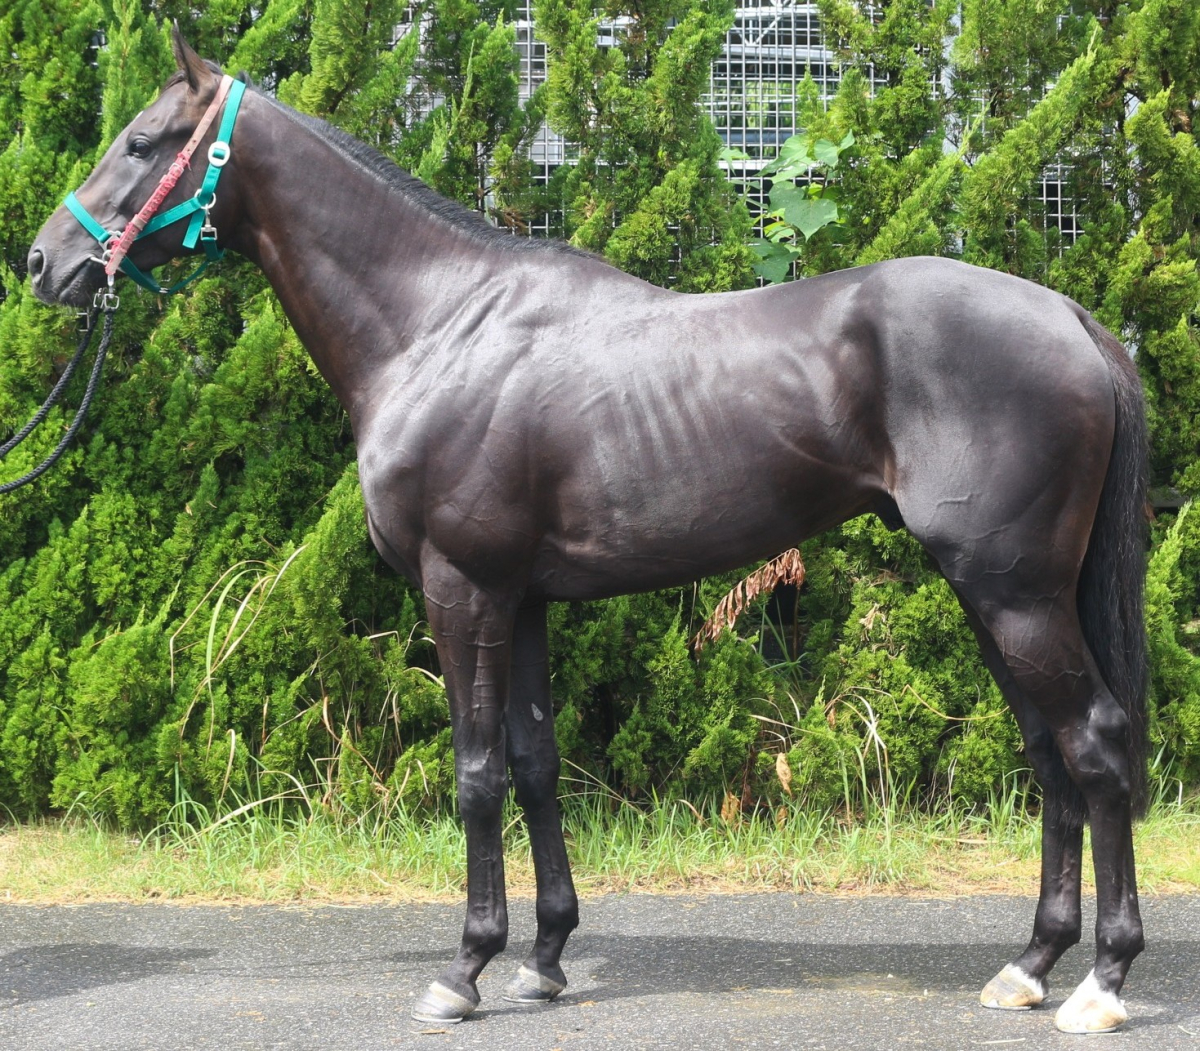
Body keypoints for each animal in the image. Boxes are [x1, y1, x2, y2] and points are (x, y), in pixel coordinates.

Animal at [28, 29, 1148, 1035]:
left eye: (141, 141)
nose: (45, 261)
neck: (442, 325)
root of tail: (1073, 320)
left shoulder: (462, 587)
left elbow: (476, 772)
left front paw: (465, 970)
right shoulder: (520, 600)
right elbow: (533, 763)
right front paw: (545, 957)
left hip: (1012, 593)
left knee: (1093, 742)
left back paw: (1101, 982)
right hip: (998, 597)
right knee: (1050, 754)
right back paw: (1030, 964)